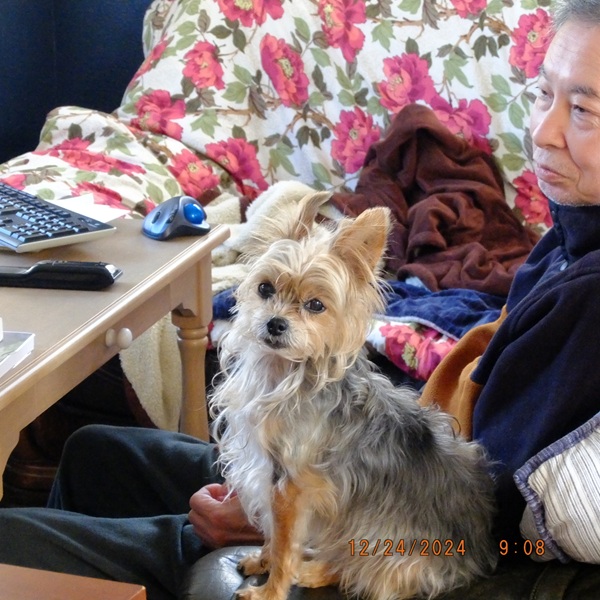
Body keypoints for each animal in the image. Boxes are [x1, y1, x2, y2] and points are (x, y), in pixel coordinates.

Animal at [210, 191, 498, 600]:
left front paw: (270, 591)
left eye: (316, 305)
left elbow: (284, 546)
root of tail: (477, 556)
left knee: (366, 571)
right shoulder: (268, 477)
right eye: (265, 288)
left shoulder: (292, 486)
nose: (275, 323)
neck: (284, 373)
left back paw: (314, 571)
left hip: (376, 536)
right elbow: (273, 535)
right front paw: (261, 561)